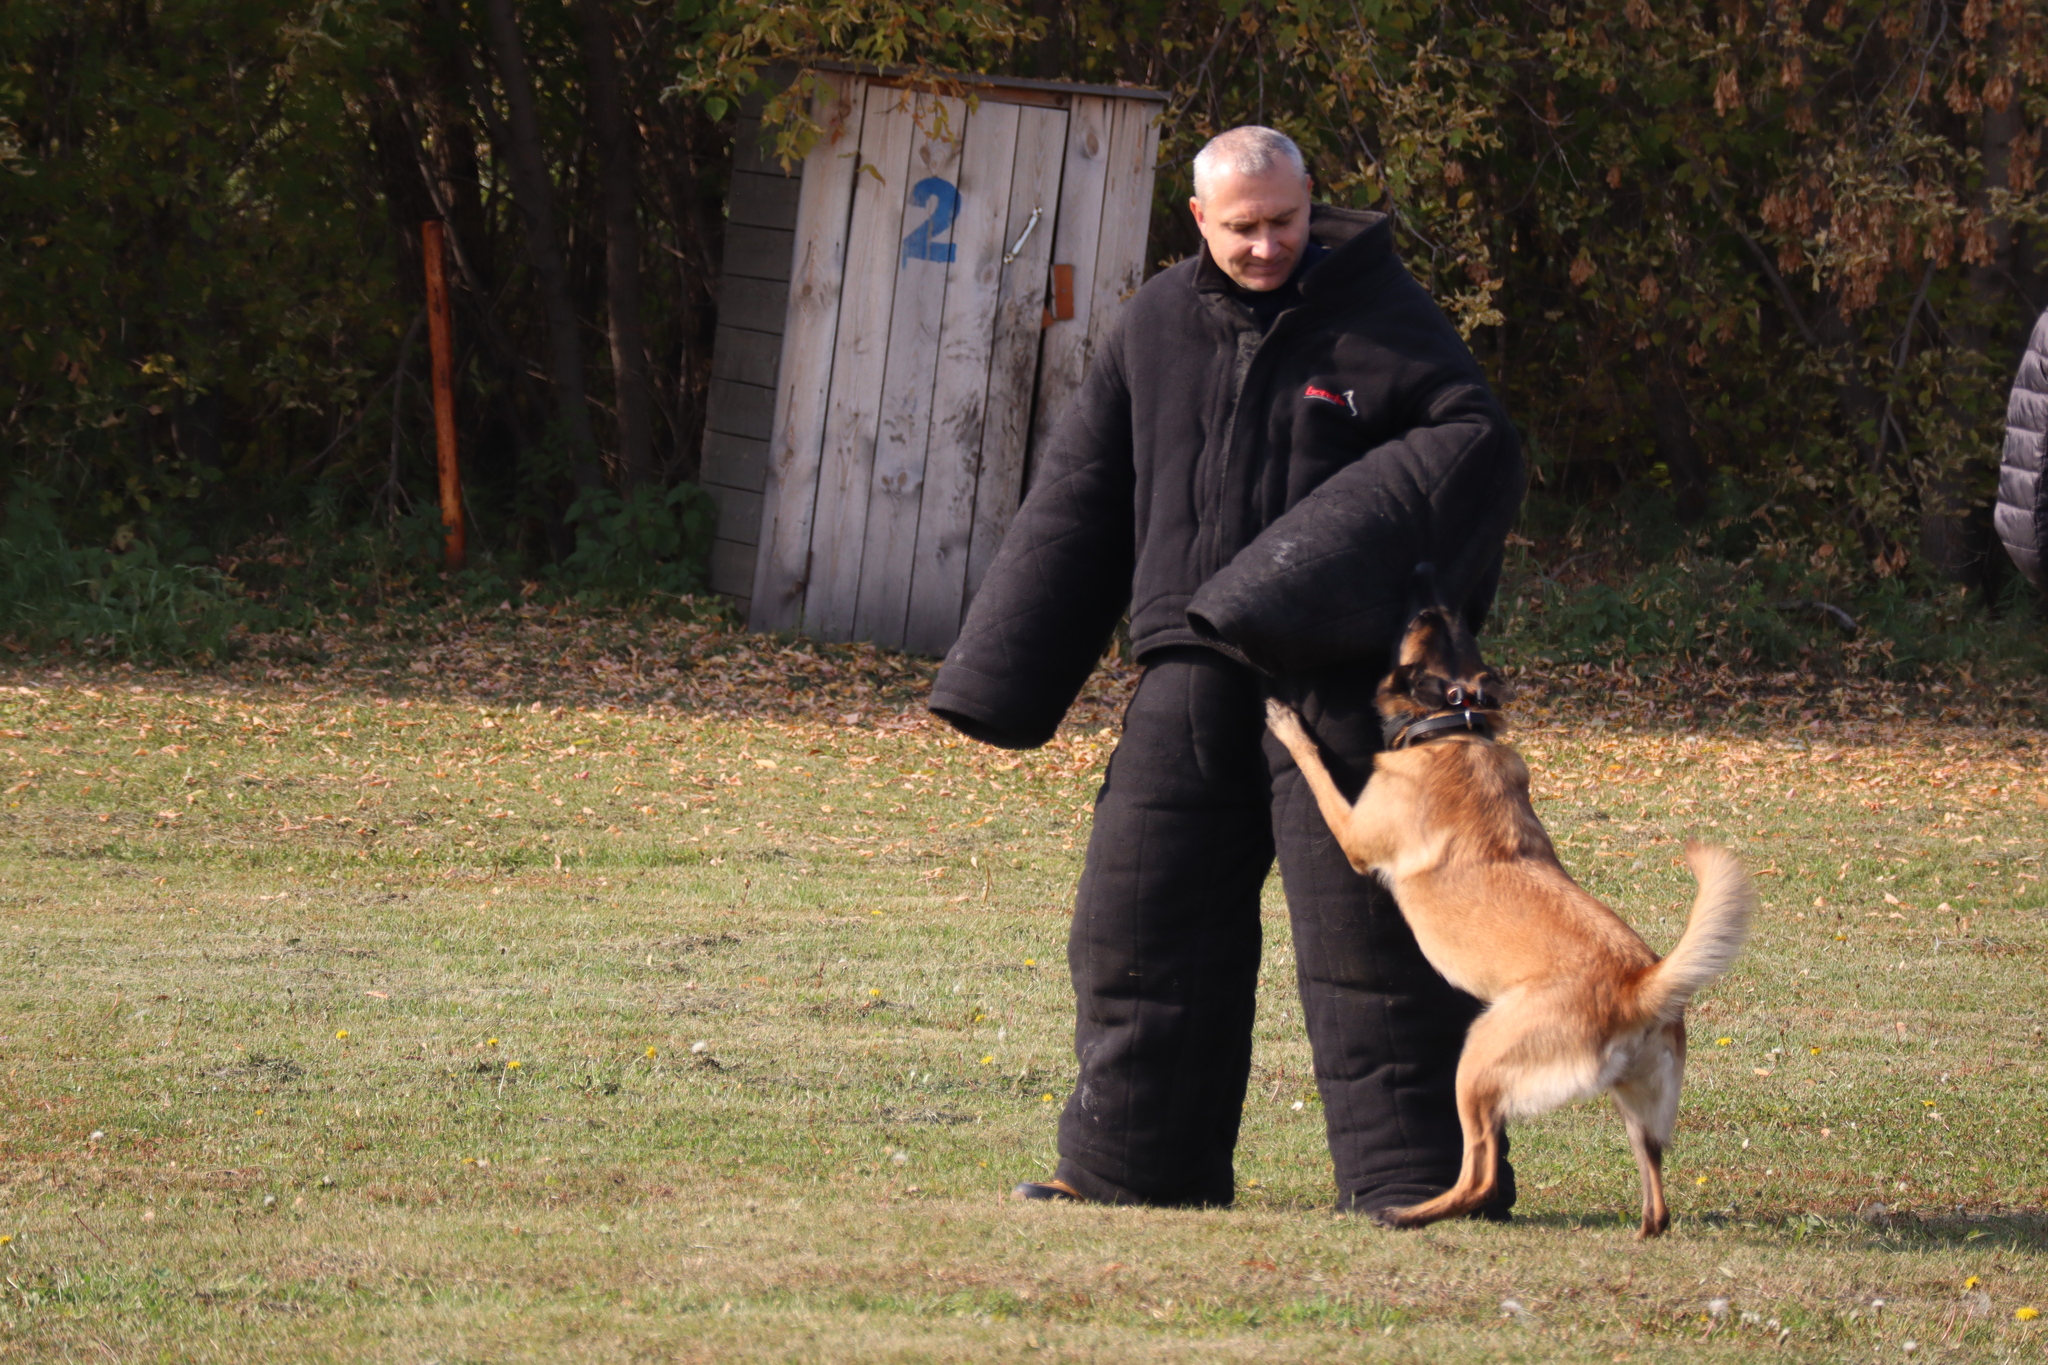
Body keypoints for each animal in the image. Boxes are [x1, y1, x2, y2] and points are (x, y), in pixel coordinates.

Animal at [1269, 609, 1753, 1236]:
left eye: (1417, 646)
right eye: (1454, 633)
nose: (1431, 609)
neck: (1456, 726)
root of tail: (1638, 984)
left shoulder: (1354, 836)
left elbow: (1317, 770)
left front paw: (1287, 724)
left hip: (1476, 1061)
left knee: (1479, 1177)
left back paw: (1409, 1214)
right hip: (1634, 1103)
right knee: (1656, 1194)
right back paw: (1643, 1229)